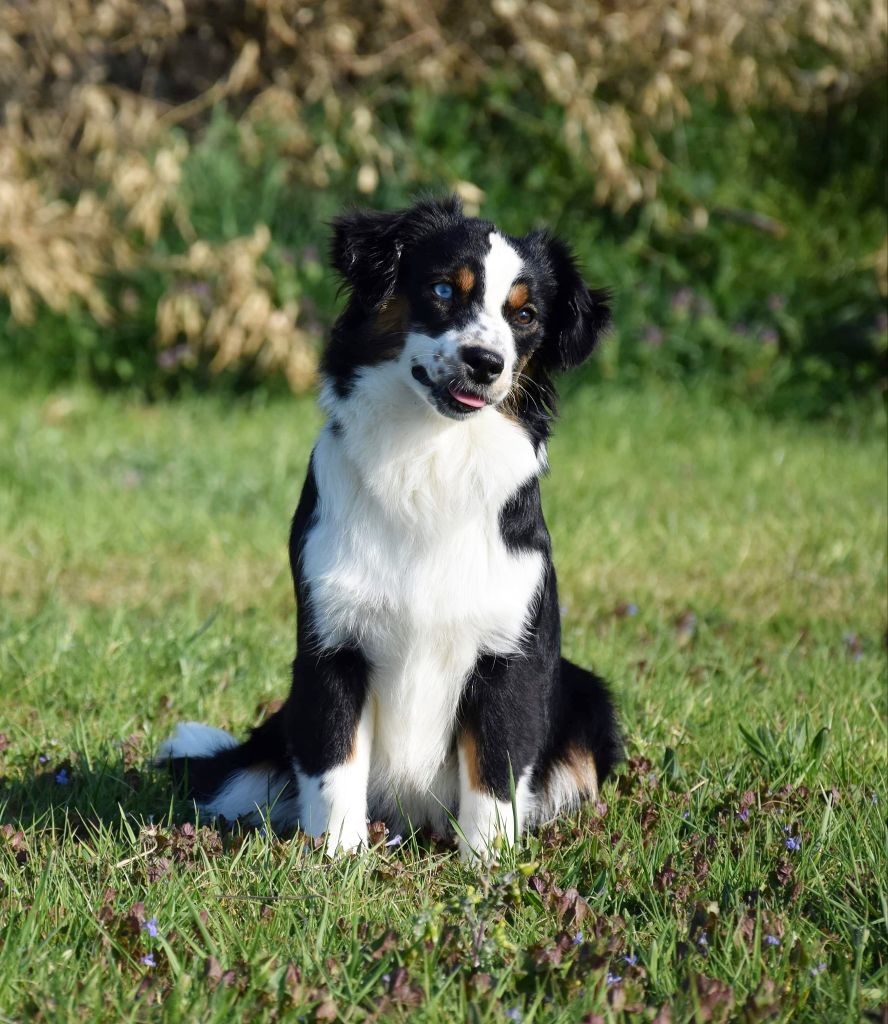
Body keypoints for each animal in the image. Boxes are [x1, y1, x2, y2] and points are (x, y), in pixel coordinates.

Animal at [162, 195, 626, 860]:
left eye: (525, 314)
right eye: (442, 289)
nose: (486, 363)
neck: (427, 459)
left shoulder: (507, 652)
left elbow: (495, 770)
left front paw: (487, 866)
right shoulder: (332, 643)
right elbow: (335, 762)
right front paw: (336, 858)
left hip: (587, 696)